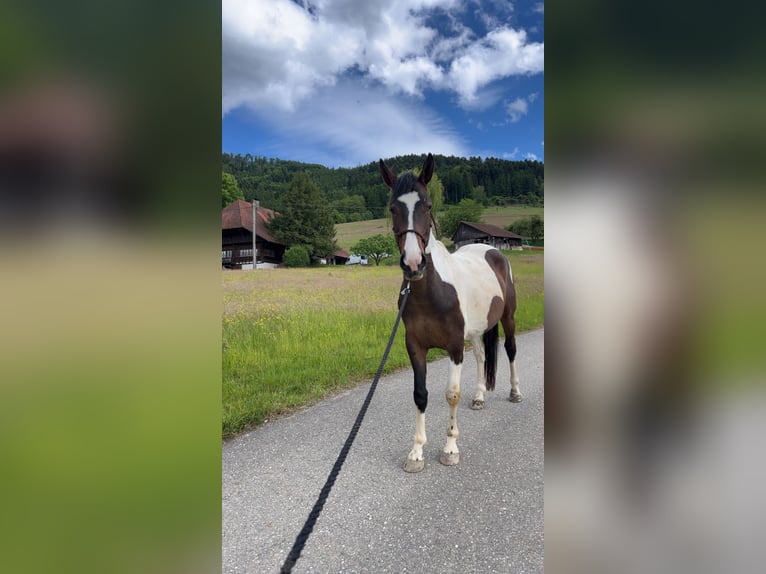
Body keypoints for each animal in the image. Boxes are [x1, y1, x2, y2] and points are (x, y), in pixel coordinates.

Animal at [380, 153, 522, 473]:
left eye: (428, 205)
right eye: (393, 207)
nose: (413, 264)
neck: (432, 292)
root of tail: (492, 250)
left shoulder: (454, 346)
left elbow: (452, 395)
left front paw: (450, 449)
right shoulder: (415, 345)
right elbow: (420, 395)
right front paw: (416, 453)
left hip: (507, 318)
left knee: (510, 350)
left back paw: (515, 392)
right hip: (478, 329)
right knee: (482, 356)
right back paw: (480, 396)